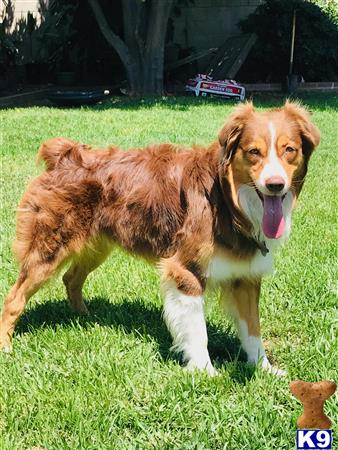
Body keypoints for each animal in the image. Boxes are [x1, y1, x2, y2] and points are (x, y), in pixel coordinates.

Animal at [0, 102, 320, 376]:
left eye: (289, 150)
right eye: (254, 151)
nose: (275, 185)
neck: (229, 200)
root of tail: (63, 155)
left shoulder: (246, 276)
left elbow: (253, 329)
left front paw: (265, 370)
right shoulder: (185, 270)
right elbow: (198, 332)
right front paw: (205, 372)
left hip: (97, 246)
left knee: (72, 278)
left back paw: (85, 317)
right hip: (48, 250)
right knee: (14, 298)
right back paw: (6, 345)